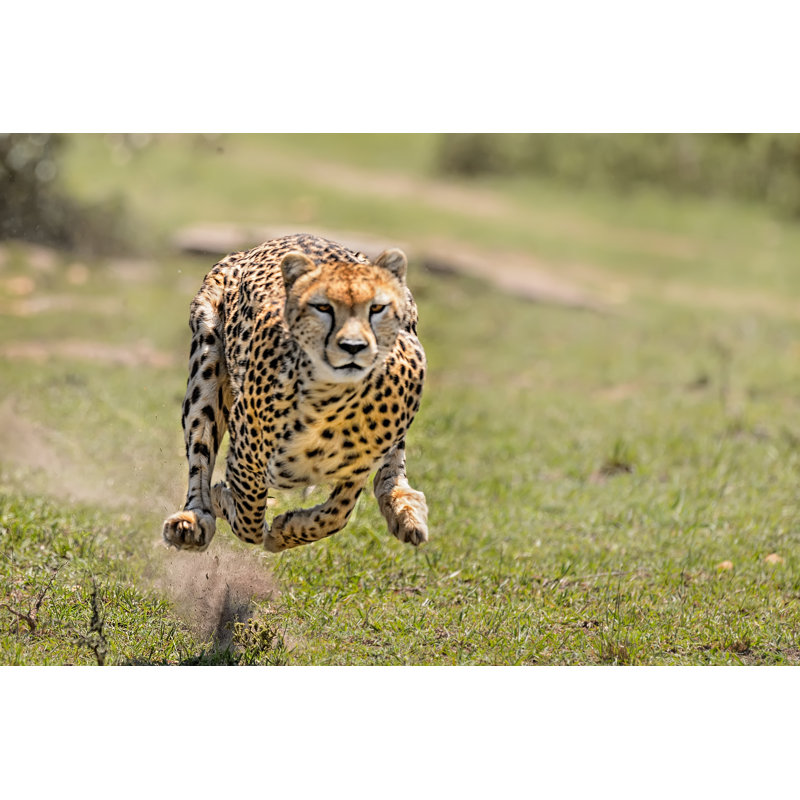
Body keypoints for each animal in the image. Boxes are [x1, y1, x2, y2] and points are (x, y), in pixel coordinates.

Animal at [162, 233, 428, 554]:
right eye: (323, 308)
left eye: (376, 308)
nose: (353, 346)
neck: (334, 402)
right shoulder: (246, 457)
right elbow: (248, 518)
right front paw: (226, 502)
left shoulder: (358, 466)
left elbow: (337, 514)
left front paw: (286, 531)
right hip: (206, 364)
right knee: (200, 451)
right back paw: (193, 519)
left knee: (392, 467)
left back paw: (405, 510)